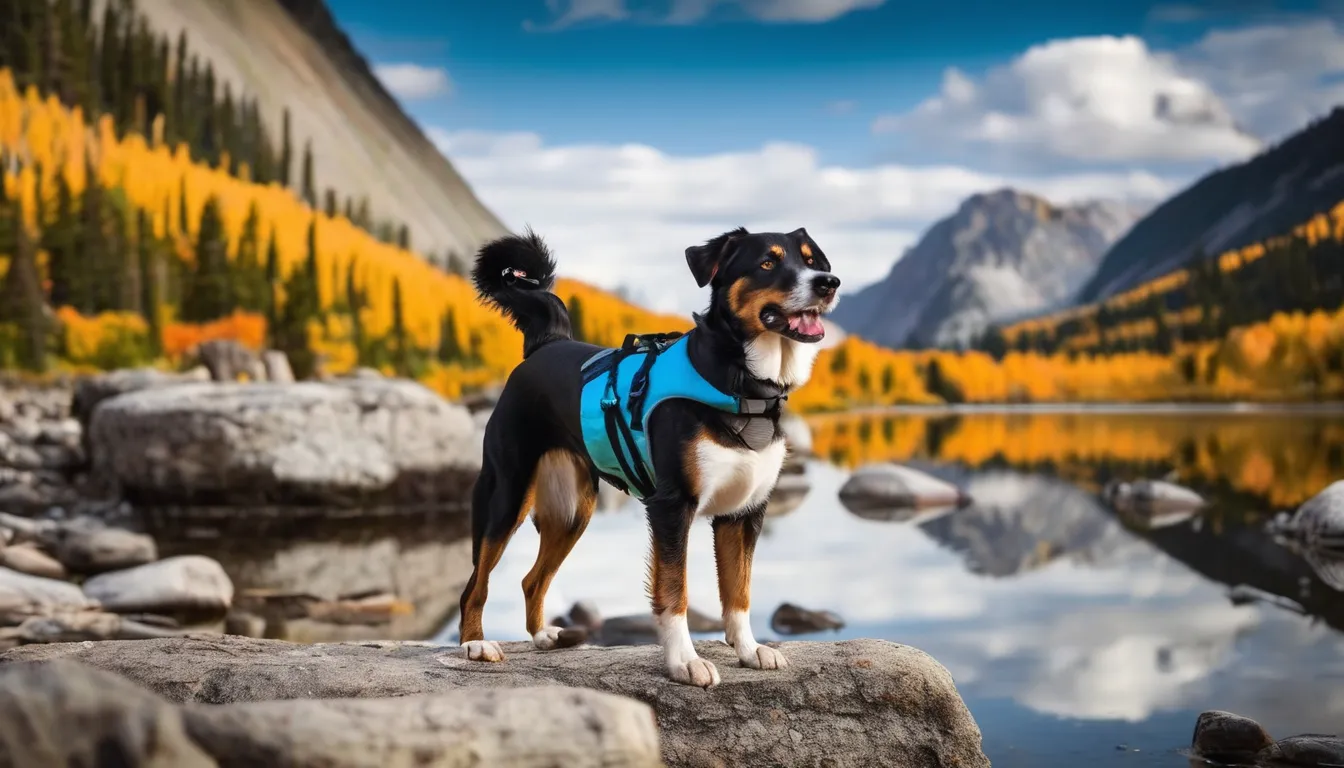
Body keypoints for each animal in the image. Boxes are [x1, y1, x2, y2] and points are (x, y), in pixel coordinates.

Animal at [462, 225, 838, 688]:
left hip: (572, 512)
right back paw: (475, 644)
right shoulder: (672, 506)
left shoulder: (744, 512)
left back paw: (543, 636)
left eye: (812, 261)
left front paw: (749, 650)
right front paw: (685, 662)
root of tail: (547, 343)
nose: (828, 283)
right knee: (476, 583)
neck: (741, 386)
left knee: (532, 580)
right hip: (505, 495)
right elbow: (675, 592)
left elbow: (739, 592)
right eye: (768, 262)